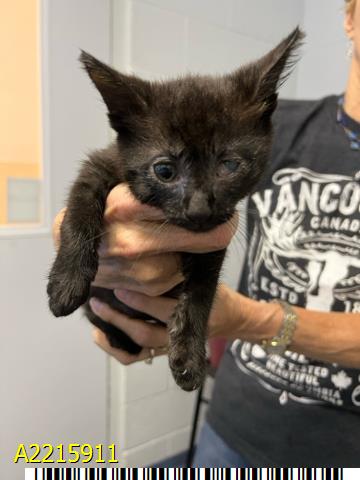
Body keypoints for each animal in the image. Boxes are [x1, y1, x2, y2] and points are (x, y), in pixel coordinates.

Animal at [46, 28, 302, 392]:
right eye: (164, 170)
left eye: (229, 165)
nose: (198, 208)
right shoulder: (101, 164)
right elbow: (79, 210)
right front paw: (66, 283)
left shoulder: (213, 241)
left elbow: (201, 295)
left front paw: (190, 358)